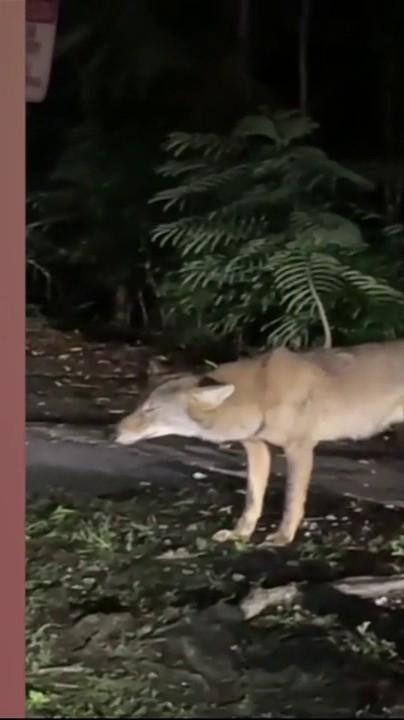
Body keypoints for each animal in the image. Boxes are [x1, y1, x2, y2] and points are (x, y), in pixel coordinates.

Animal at [114, 339, 404, 547]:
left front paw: (283, 537)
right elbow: (253, 500)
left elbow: (291, 501)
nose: (114, 431)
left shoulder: (299, 449)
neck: (259, 393)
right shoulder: (256, 449)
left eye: (151, 410)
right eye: (139, 405)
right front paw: (239, 534)